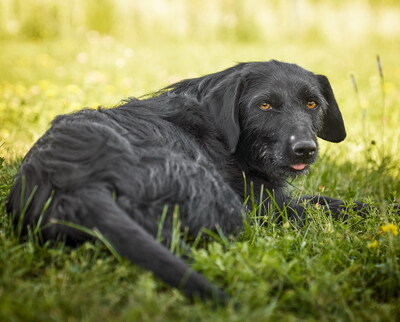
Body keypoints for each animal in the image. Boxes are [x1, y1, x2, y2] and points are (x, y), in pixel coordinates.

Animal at [7, 59, 354, 302]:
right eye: (264, 105)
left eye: (312, 103)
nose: (305, 149)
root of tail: (74, 180)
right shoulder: (268, 204)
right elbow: (331, 204)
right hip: (222, 200)